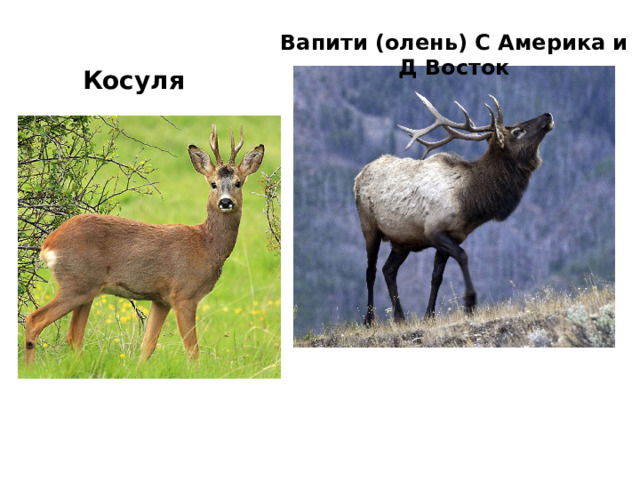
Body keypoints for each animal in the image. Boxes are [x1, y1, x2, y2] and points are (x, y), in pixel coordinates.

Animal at [23, 125, 264, 364]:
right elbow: (192, 351)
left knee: (73, 336)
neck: (207, 245)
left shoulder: (161, 299)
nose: (226, 202)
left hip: (87, 289)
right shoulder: (184, 294)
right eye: (213, 184)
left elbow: (147, 346)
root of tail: (48, 245)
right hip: (76, 283)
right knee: (35, 319)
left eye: (238, 183)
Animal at [354, 93, 554, 326]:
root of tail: (359, 175)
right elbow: (463, 256)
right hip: (369, 227)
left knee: (389, 270)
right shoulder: (434, 231)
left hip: (402, 241)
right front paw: (470, 303)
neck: (470, 201)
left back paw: (400, 317)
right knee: (371, 271)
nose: (547, 115)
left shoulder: (452, 236)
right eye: (517, 131)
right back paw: (369, 320)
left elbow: (436, 277)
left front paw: (429, 315)